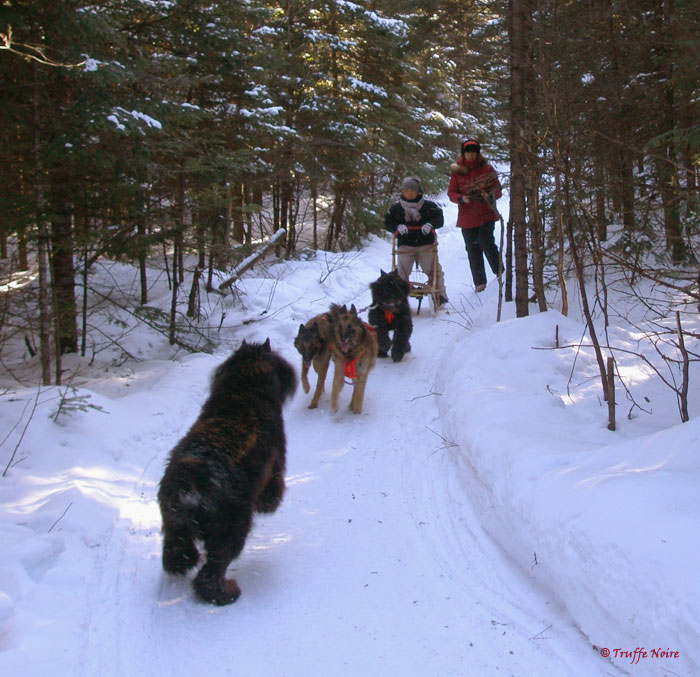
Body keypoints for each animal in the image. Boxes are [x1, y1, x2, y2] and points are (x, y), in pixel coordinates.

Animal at [157, 340, 296, 604]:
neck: (243, 390)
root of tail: (190, 486)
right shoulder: (275, 469)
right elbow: (272, 494)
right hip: (231, 528)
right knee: (211, 571)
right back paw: (225, 593)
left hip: (174, 522)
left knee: (175, 552)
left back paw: (184, 562)